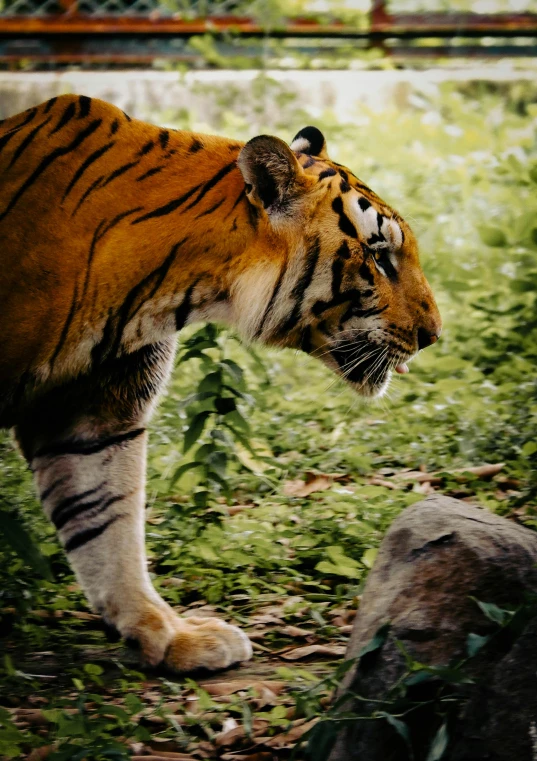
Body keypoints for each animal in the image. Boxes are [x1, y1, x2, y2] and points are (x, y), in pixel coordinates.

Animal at [0, 93, 440, 672]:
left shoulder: (92, 412)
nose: (434, 335)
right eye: (379, 255)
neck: (171, 288)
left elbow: (105, 524)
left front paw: (168, 636)